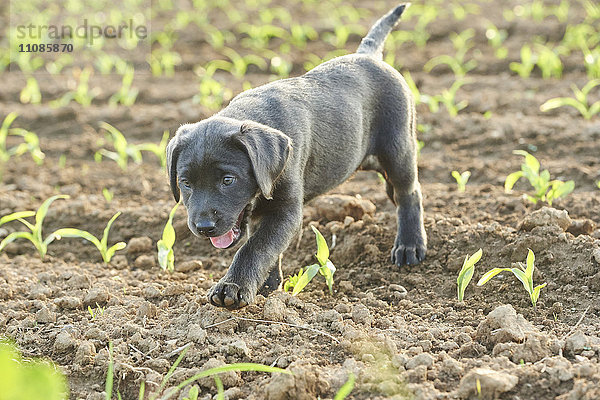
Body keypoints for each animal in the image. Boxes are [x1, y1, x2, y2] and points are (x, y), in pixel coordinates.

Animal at [165, 3, 426, 310]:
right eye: (185, 183)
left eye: (228, 180)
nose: (204, 227)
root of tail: (368, 55)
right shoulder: (263, 214)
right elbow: (267, 248)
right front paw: (268, 287)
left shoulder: (286, 211)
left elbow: (255, 248)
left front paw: (234, 287)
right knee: (393, 191)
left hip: (399, 145)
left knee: (409, 192)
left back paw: (410, 245)